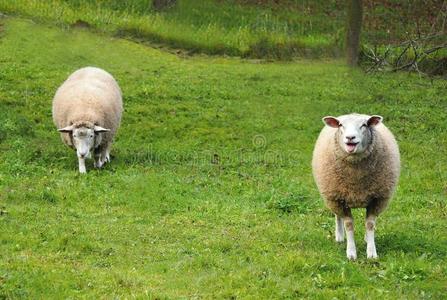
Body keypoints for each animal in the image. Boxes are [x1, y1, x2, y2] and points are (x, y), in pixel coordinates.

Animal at [312, 113, 402, 258]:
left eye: (364, 125)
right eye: (341, 125)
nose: (350, 137)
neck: (356, 179)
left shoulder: (377, 199)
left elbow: (370, 224)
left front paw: (371, 252)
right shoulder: (339, 198)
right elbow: (348, 224)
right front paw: (351, 252)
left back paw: (366, 238)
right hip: (333, 196)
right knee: (337, 216)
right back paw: (339, 237)